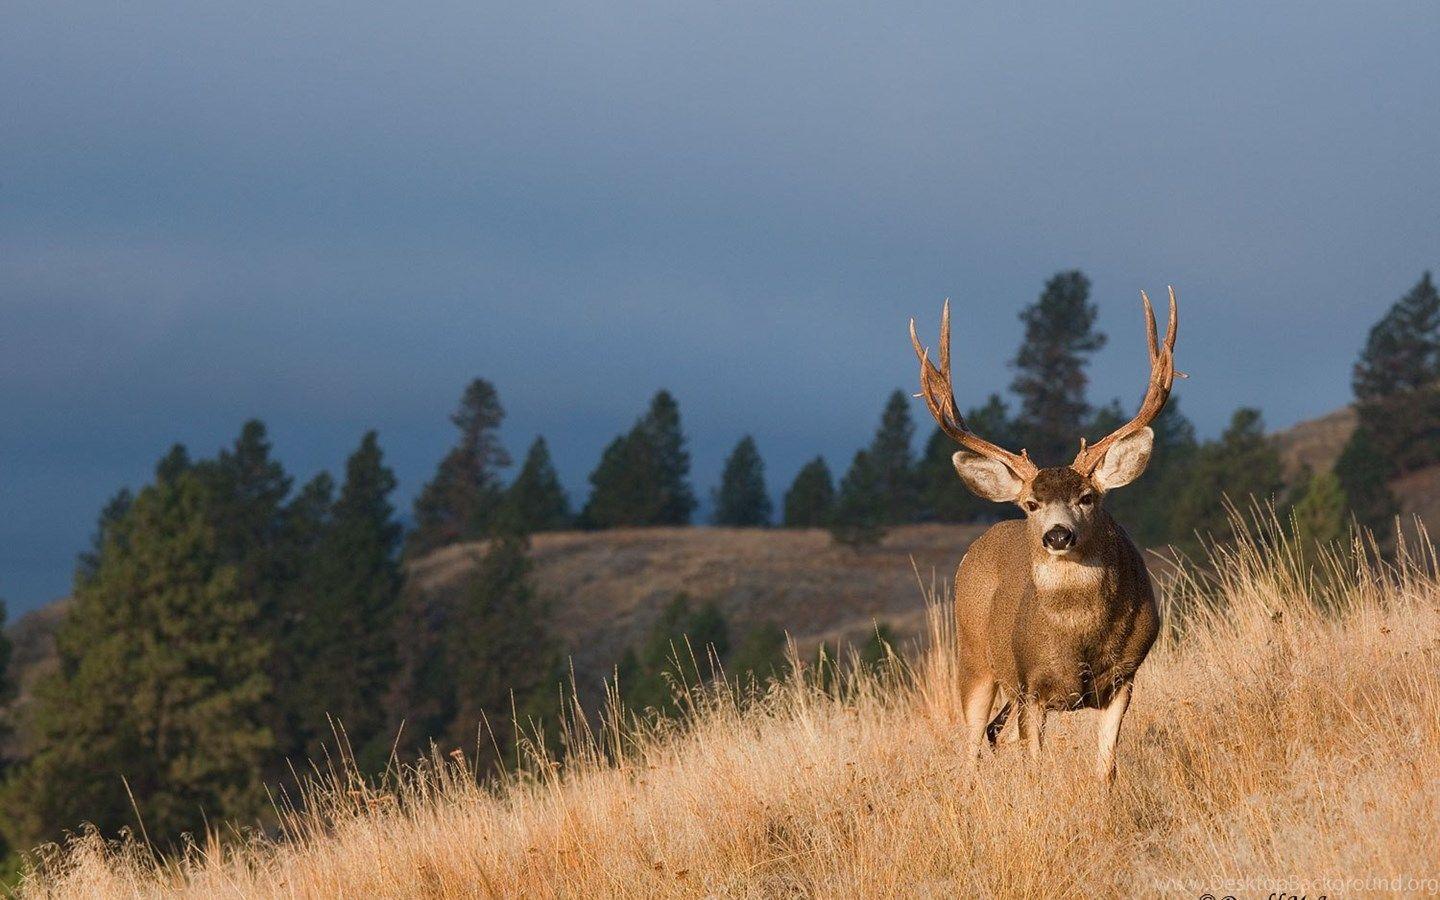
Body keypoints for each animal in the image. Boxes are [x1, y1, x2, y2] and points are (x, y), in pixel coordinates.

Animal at [908, 287, 1182, 783]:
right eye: (1032, 504)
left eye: (1088, 497)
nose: (1057, 535)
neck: (1076, 639)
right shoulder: (1029, 686)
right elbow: (1034, 768)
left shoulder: (1125, 677)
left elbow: (1106, 767)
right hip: (973, 656)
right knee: (972, 743)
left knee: (989, 736)